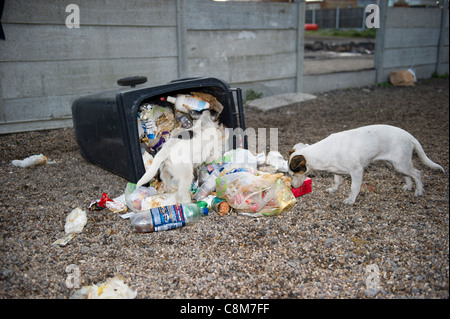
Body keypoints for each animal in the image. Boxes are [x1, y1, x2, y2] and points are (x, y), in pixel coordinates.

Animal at [288, 125, 446, 205]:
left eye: (293, 173)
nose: (292, 187)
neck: (322, 152)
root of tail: (409, 136)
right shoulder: (337, 171)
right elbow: (336, 181)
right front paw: (333, 189)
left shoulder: (357, 171)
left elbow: (354, 187)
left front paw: (351, 200)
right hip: (397, 164)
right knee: (408, 175)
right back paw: (408, 186)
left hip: (401, 163)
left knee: (417, 173)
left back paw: (419, 191)